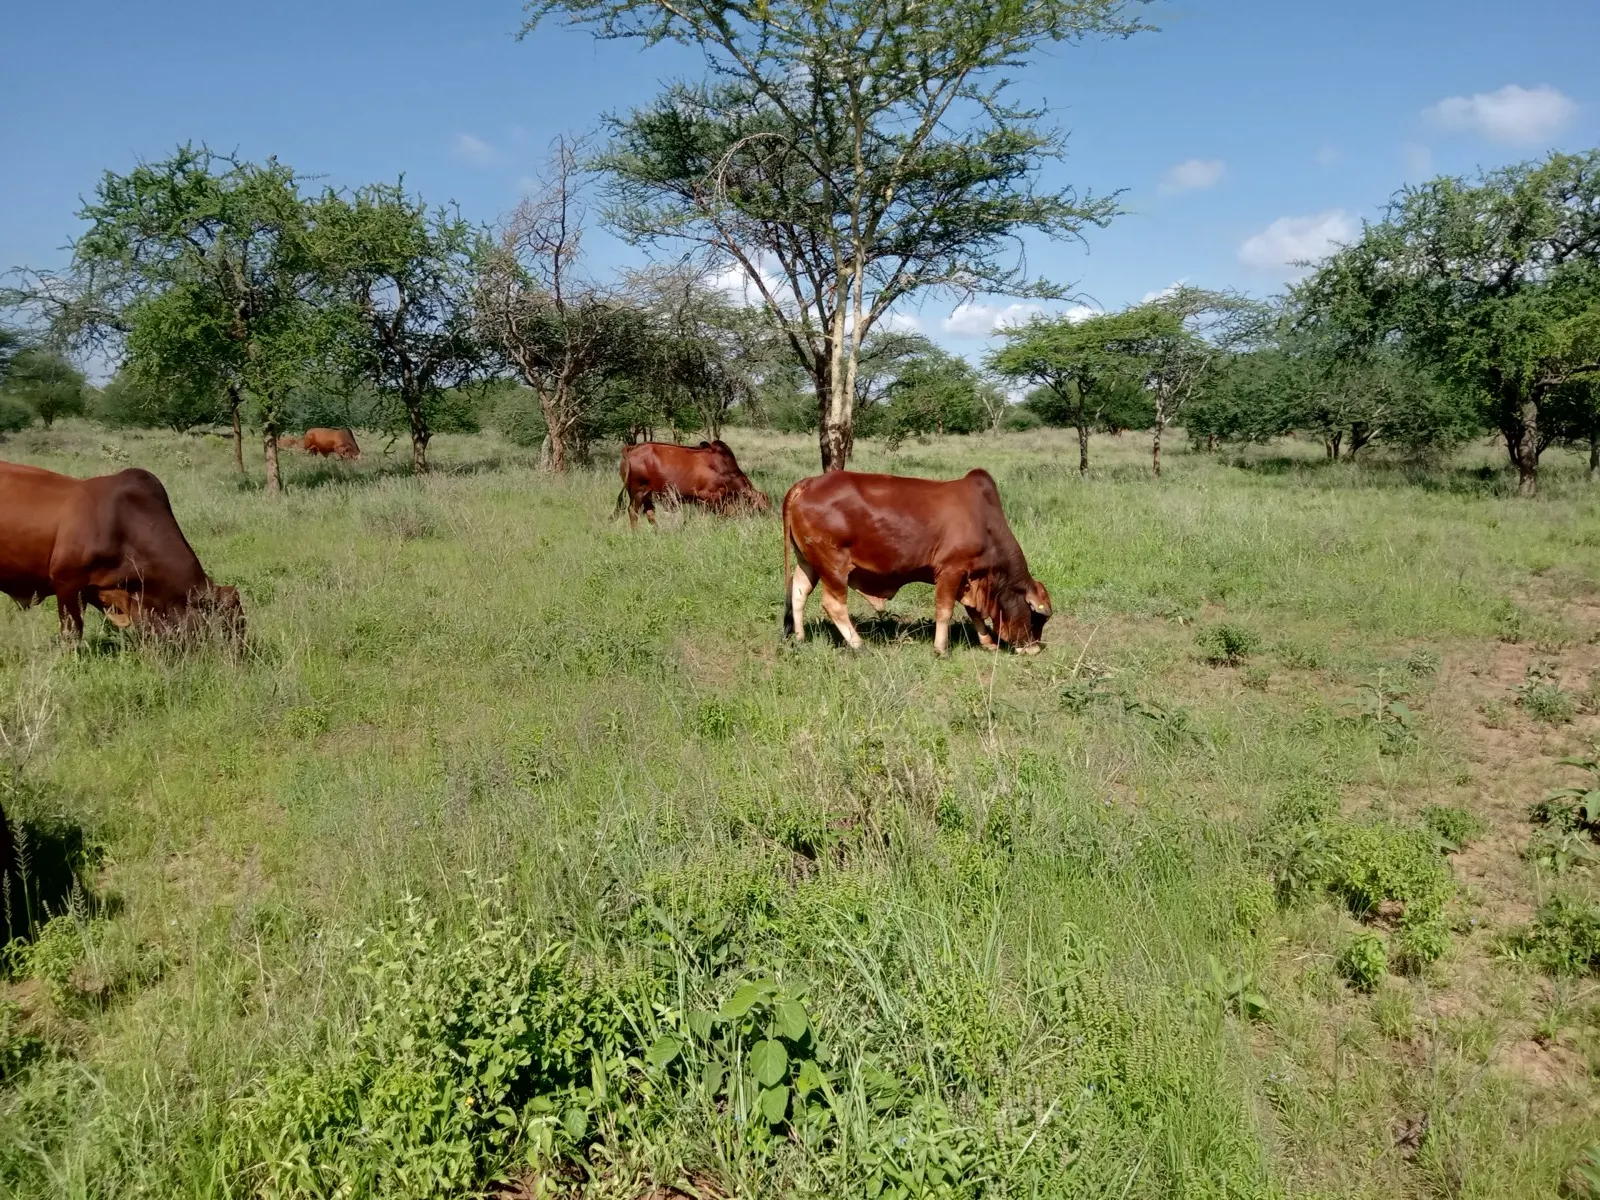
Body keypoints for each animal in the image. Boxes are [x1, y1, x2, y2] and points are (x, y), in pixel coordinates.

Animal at [614, 440, 770, 528]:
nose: (769, 518)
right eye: (762, 508)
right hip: (638, 492)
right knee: (633, 512)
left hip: (648, 494)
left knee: (650, 513)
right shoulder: (709, 498)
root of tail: (632, 448)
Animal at [781, 469, 1052, 656]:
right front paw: (941, 649)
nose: (1034, 648)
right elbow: (945, 610)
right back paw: (859, 645)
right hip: (833, 565)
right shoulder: (951, 570)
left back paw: (800, 637)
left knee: (799, 591)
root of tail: (808, 483)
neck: (985, 524)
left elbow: (974, 612)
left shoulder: (969, 577)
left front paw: (987, 642)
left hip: (808, 561)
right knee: (833, 604)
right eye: (1036, 616)